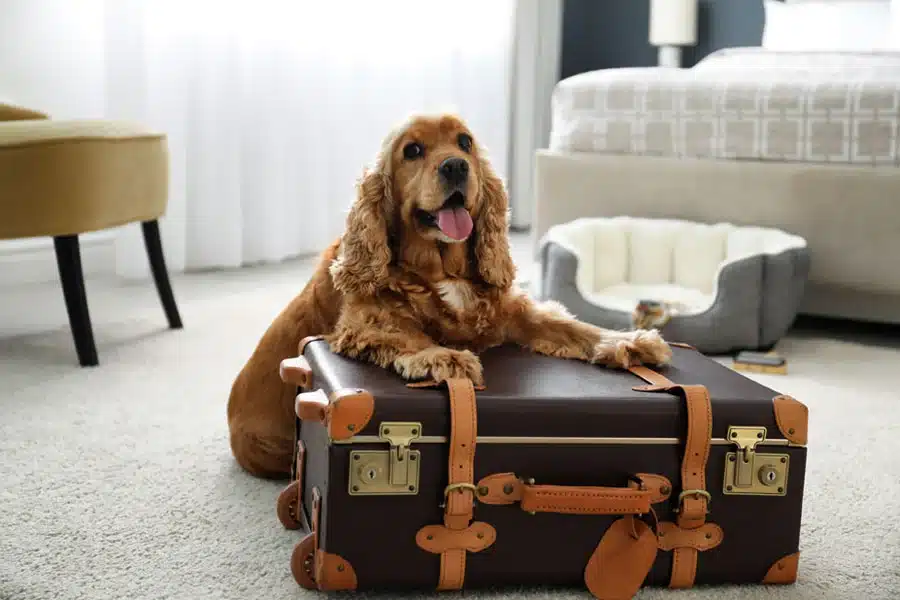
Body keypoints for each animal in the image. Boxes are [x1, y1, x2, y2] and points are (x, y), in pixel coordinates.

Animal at [229, 112, 672, 478]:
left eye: (464, 142)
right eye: (412, 150)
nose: (456, 165)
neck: (443, 269)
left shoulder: (511, 312)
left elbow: (571, 326)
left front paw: (628, 340)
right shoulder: (365, 324)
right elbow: (409, 336)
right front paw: (445, 357)